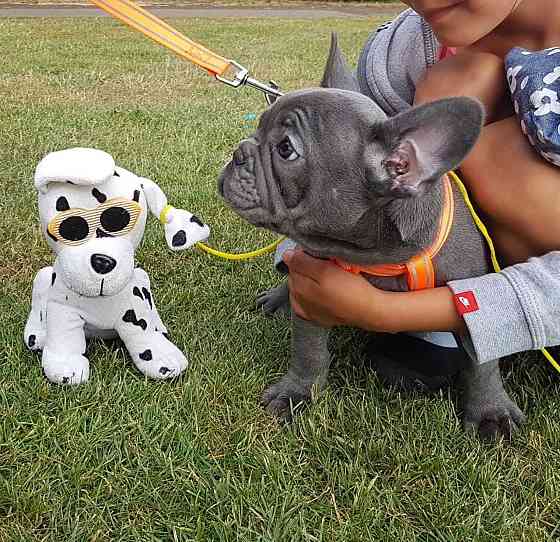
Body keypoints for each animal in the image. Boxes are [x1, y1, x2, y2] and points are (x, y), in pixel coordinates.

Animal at [218, 35, 524, 442]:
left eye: (286, 149)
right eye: (258, 128)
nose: (239, 151)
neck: (377, 254)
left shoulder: (469, 296)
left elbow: (484, 363)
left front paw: (491, 411)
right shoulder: (312, 290)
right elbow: (308, 349)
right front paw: (297, 391)